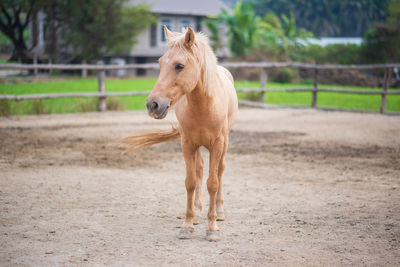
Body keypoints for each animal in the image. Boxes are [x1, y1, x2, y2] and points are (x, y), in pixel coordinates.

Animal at [122, 26, 238, 242]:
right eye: (160, 63)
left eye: (179, 66)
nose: (153, 105)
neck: (204, 105)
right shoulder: (187, 143)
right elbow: (191, 182)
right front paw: (188, 225)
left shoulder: (217, 143)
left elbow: (213, 182)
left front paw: (212, 229)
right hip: (198, 145)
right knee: (200, 170)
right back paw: (198, 213)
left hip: (224, 144)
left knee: (220, 170)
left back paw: (219, 212)